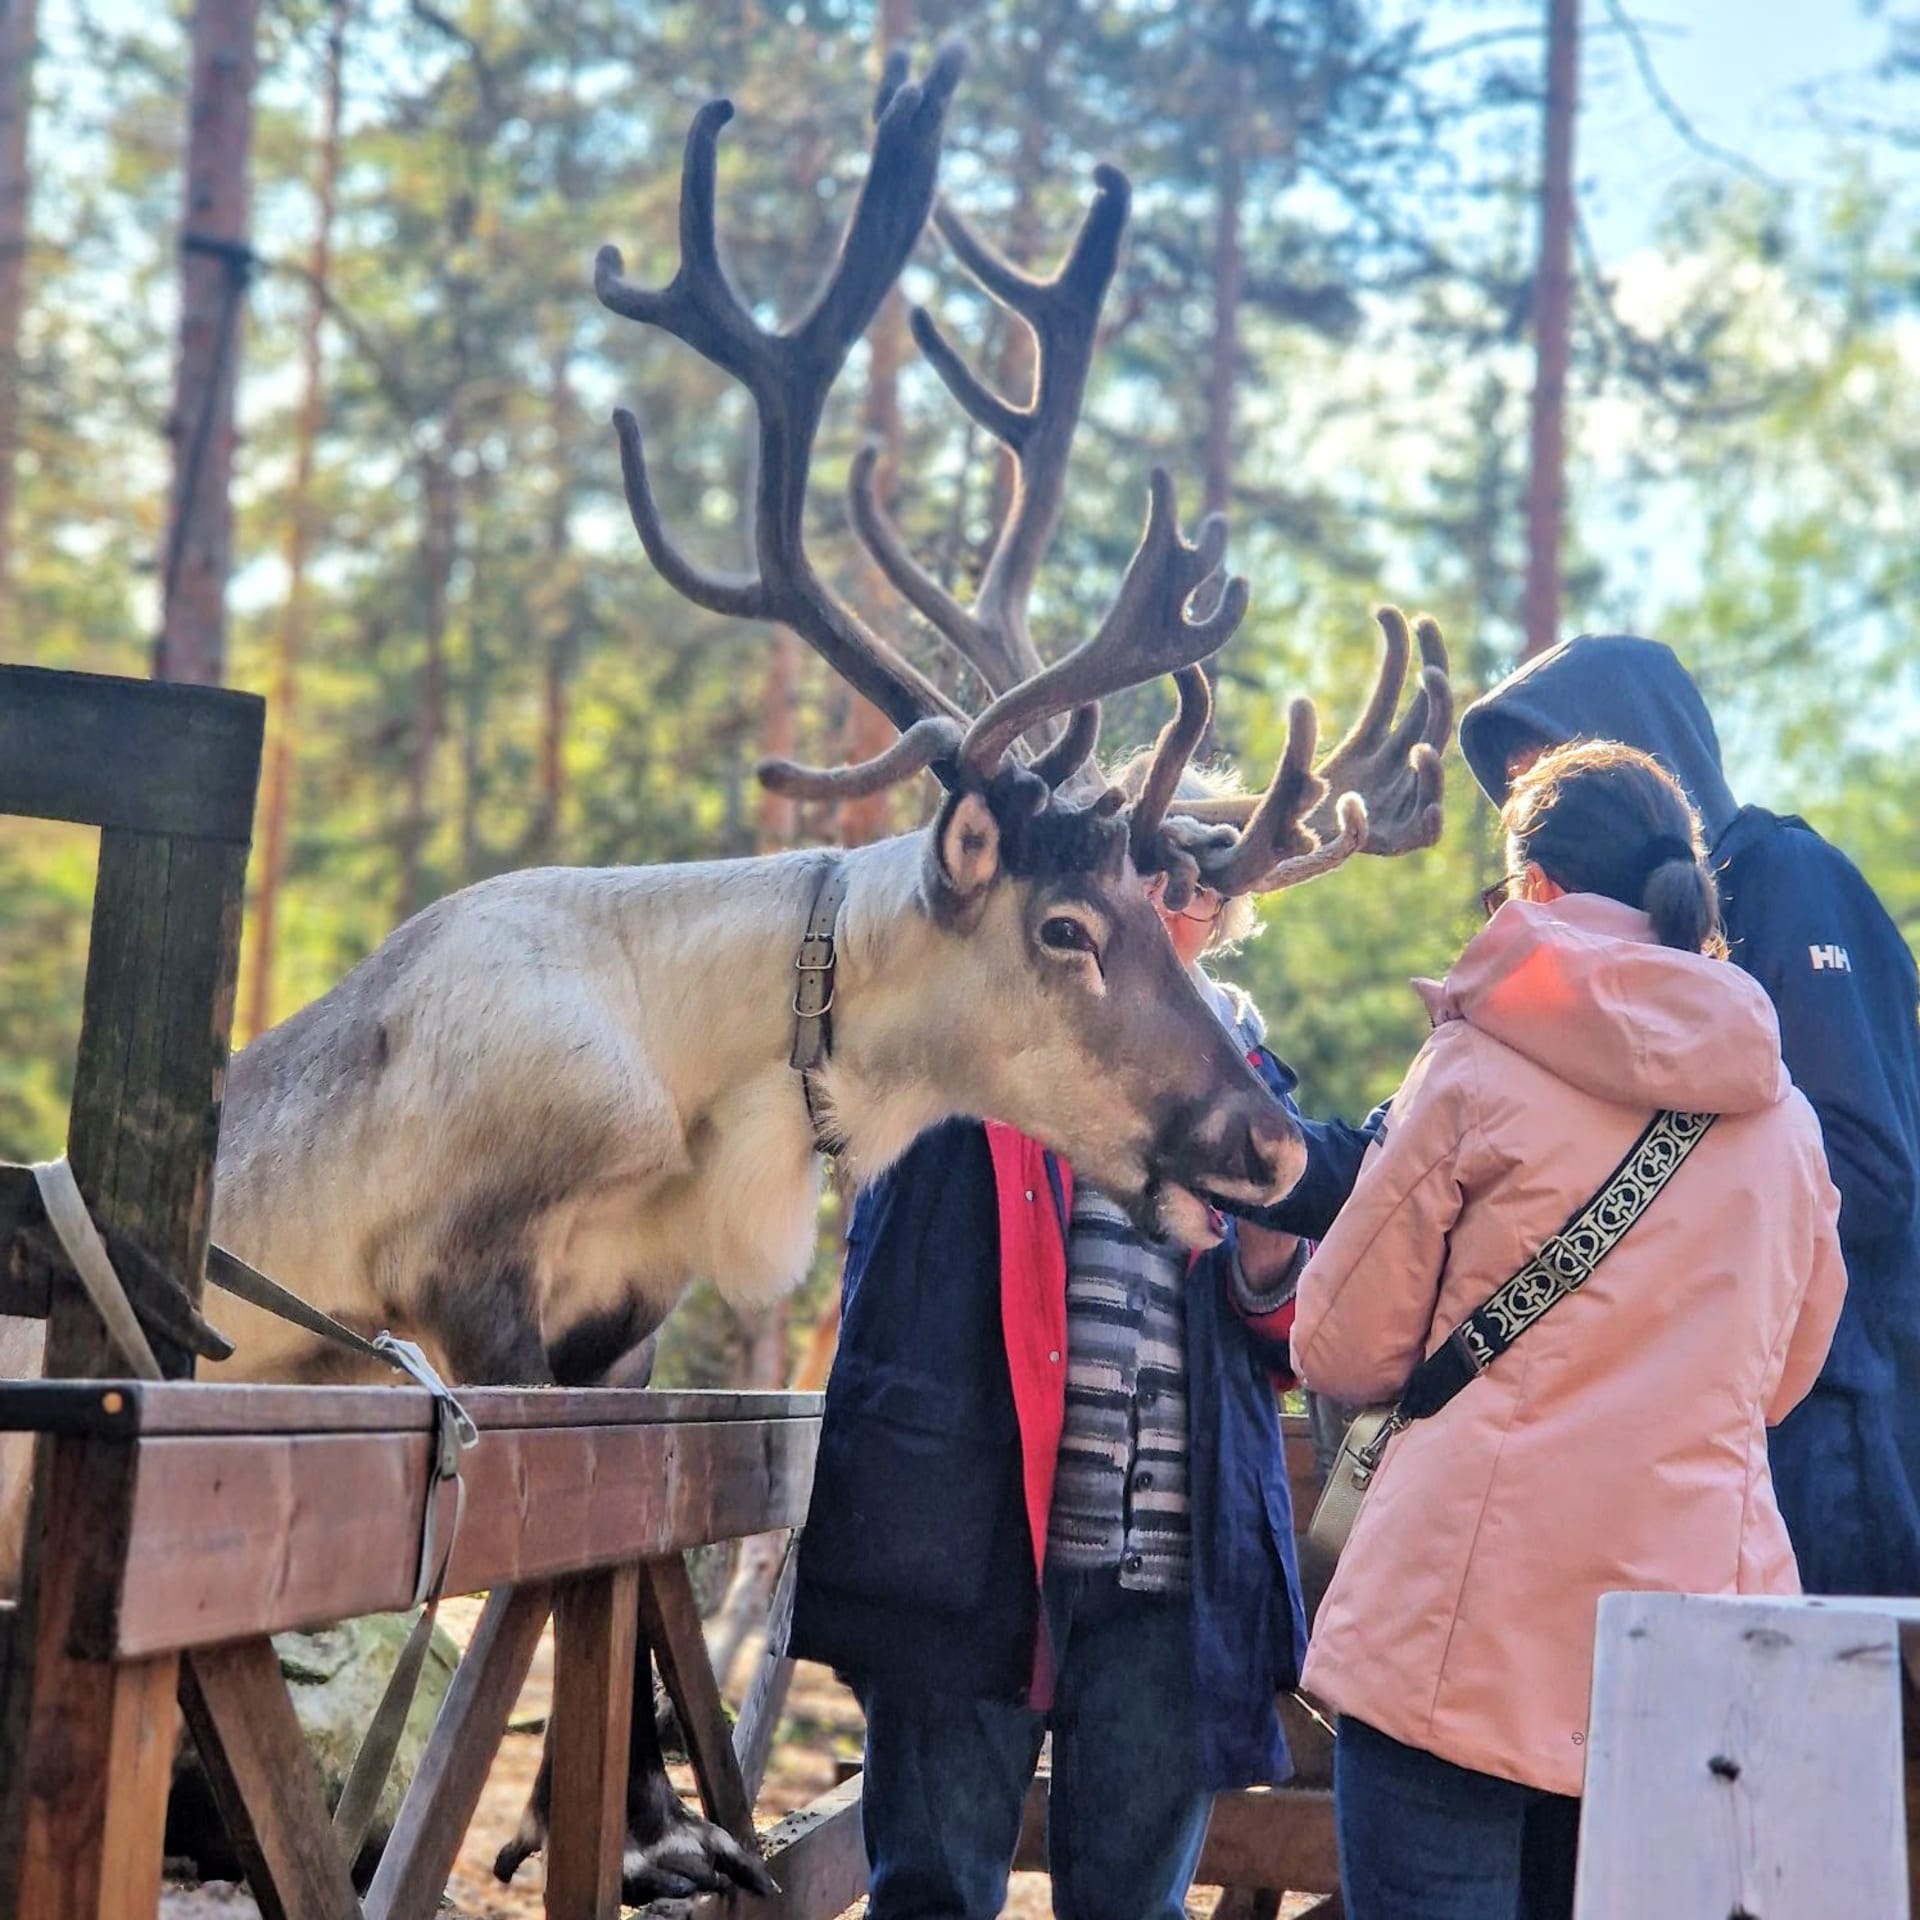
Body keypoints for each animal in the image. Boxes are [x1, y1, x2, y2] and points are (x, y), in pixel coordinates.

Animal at [1, 46, 1452, 1905]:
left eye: (1155, 908)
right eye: (1069, 929)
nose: (1271, 1145)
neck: (703, 1070)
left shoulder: (625, 1321)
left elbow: (619, 1589)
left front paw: (643, 1823)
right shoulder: (460, 1286)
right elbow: (546, 1582)